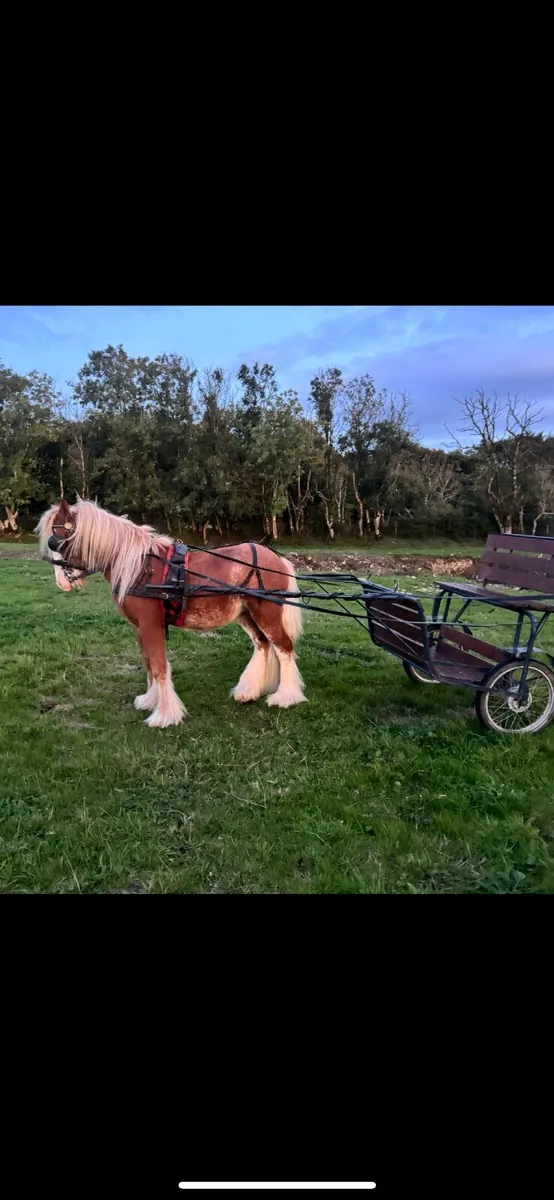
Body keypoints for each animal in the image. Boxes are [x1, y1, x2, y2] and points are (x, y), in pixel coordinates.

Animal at [35, 498, 306, 728]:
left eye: (56, 540)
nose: (62, 582)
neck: (140, 566)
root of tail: (277, 559)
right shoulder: (140, 628)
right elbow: (148, 663)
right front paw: (149, 700)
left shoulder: (150, 625)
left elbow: (158, 666)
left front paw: (165, 715)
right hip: (247, 615)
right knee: (262, 644)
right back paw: (248, 691)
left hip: (266, 613)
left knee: (283, 648)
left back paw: (286, 696)